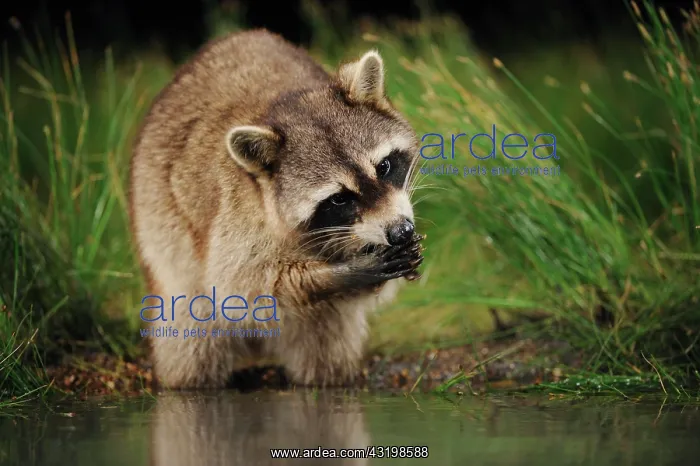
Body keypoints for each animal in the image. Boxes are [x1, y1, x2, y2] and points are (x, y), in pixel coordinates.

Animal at [129, 29, 424, 389]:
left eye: (384, 167)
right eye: (339, 198)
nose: (400, 231)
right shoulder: (237, 212)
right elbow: (239, 288)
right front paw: (342, 273)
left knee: (330, 338)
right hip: (159, 224)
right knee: (192, 327)